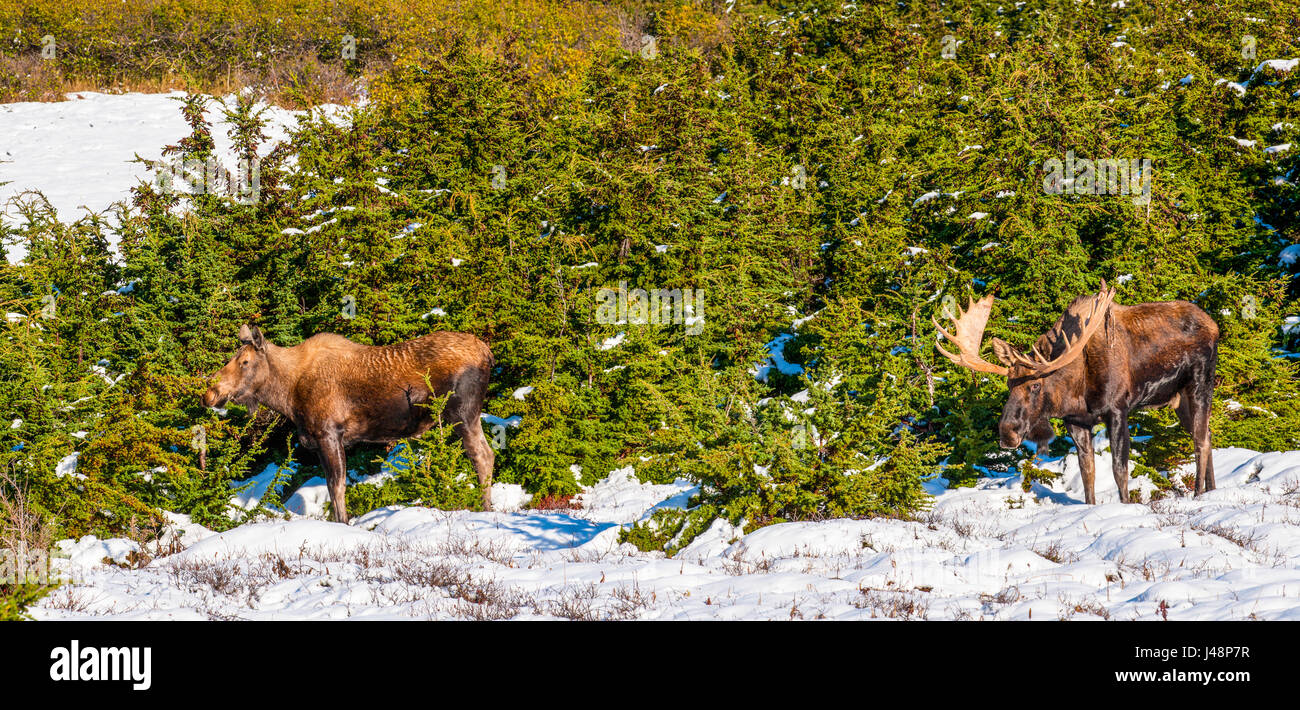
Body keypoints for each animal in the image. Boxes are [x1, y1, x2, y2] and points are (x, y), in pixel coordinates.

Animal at [202, 325, 496, 520]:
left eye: (245, 361)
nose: (210, 394)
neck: (288, 395)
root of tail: (488, 353)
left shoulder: (329, 433)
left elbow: (336, 486)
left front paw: (342, 522)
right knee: (488, 453)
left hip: (462, 412)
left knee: (482, 455)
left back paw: (485, 509)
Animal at [935, 279, 1216, 499]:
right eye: (1008, 384)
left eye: (1035, 384)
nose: (1007, 432)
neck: (1077, 390)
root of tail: (1214, 325)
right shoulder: (1076, 421)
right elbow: (1087, 472)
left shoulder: (1118, 410)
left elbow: (1120, 469)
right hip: (1178, 399)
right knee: (1207, 433)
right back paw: (1212, 490)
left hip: (1200, 383)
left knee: (1200, 440)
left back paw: (1198, 494)